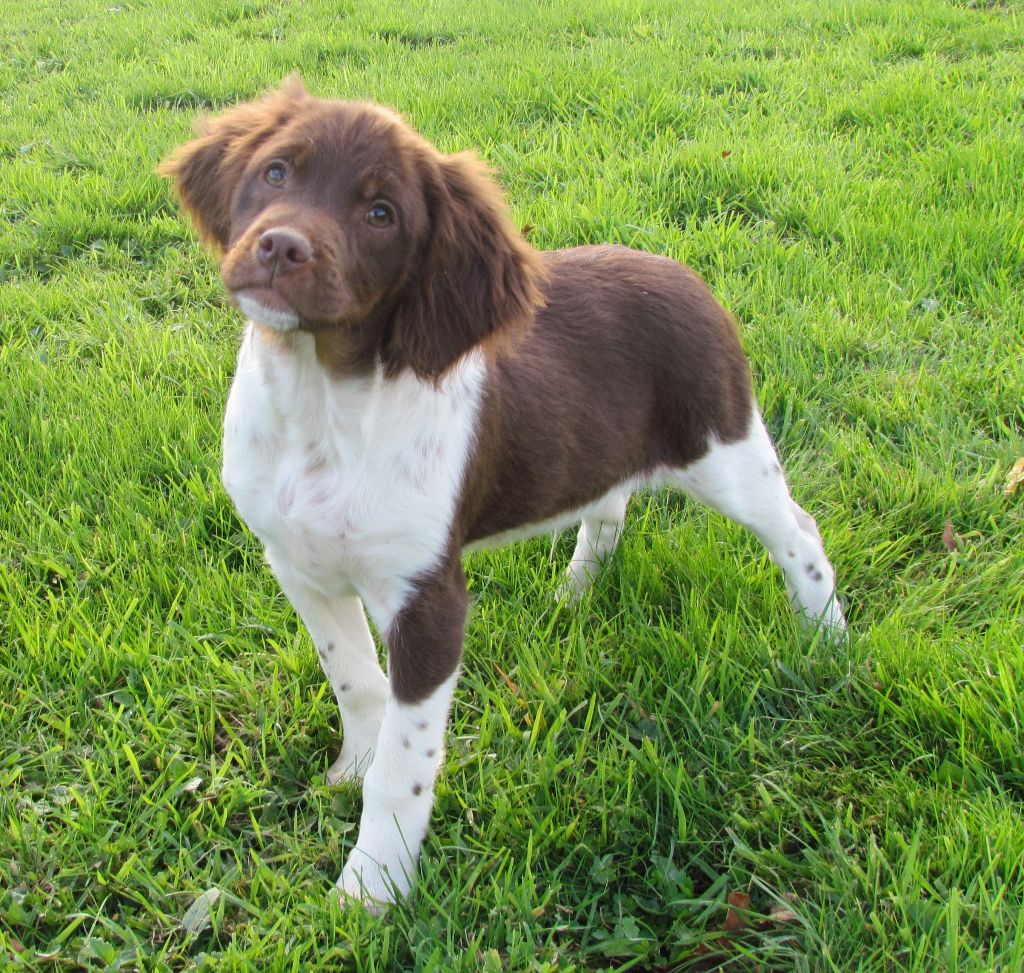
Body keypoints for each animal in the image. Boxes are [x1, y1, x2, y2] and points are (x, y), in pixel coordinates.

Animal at [159, 79, 847, 909]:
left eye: (381, 213)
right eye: (276, 172)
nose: (282, 246)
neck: (320, 401)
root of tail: (681, 272)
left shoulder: (429, 602)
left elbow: (405, 764)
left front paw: (373, 888)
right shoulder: (296, 563)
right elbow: (355, 679)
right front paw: (352, 767)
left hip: (724, 450)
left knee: (799, 531)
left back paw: (827, 638)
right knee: (609, 505)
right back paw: (577, 592)